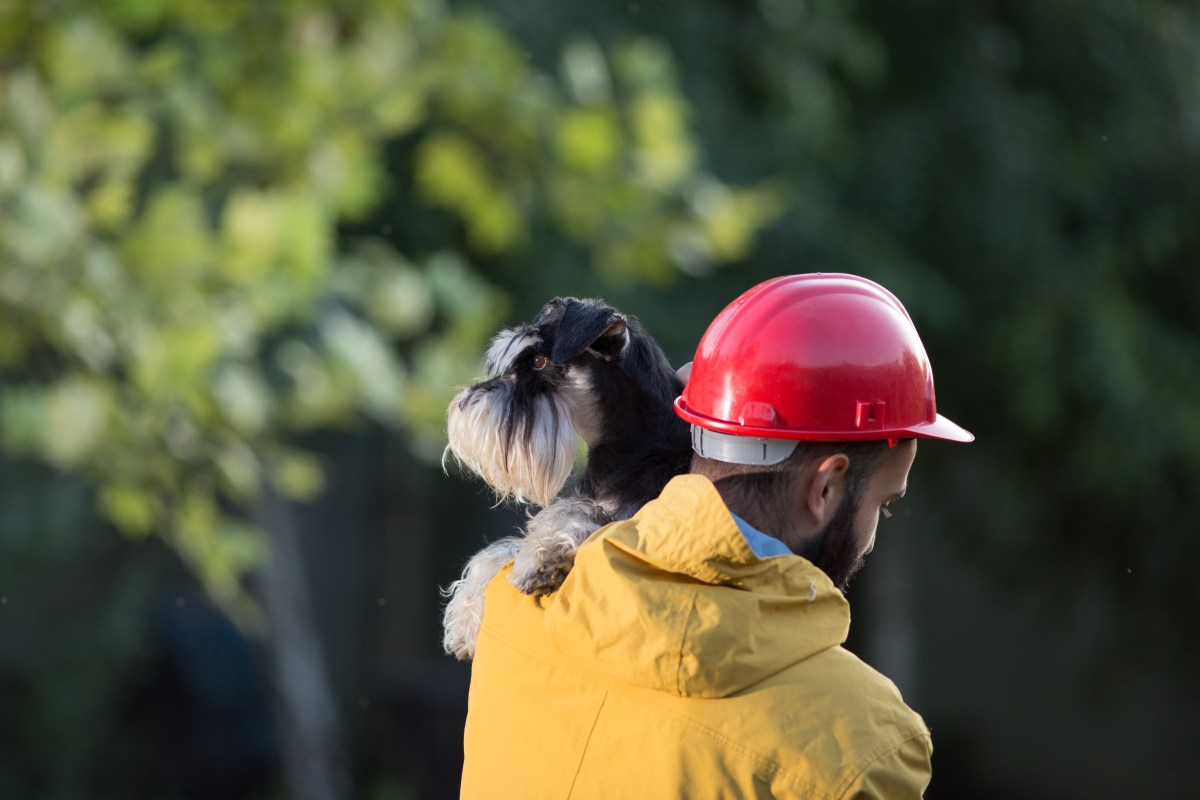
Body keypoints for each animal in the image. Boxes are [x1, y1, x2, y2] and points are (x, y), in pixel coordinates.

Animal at [441, 297, 691, 662]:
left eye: (539, 360)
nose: (465, 402)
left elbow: (578, 516)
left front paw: (544, 558)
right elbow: (501, 550)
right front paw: (464, 615)